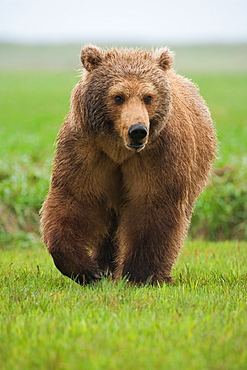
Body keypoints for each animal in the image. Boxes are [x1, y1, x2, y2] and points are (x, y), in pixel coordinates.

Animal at [40, 44, 216, 284]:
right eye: (118, 97)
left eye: (148, 96)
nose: (138, 131)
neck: (119, 149)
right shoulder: (87, 150)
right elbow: (75, 198)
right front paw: (88, 269)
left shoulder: (158, 155)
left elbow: (153, 204)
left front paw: (140, 274)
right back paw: (105, 265)